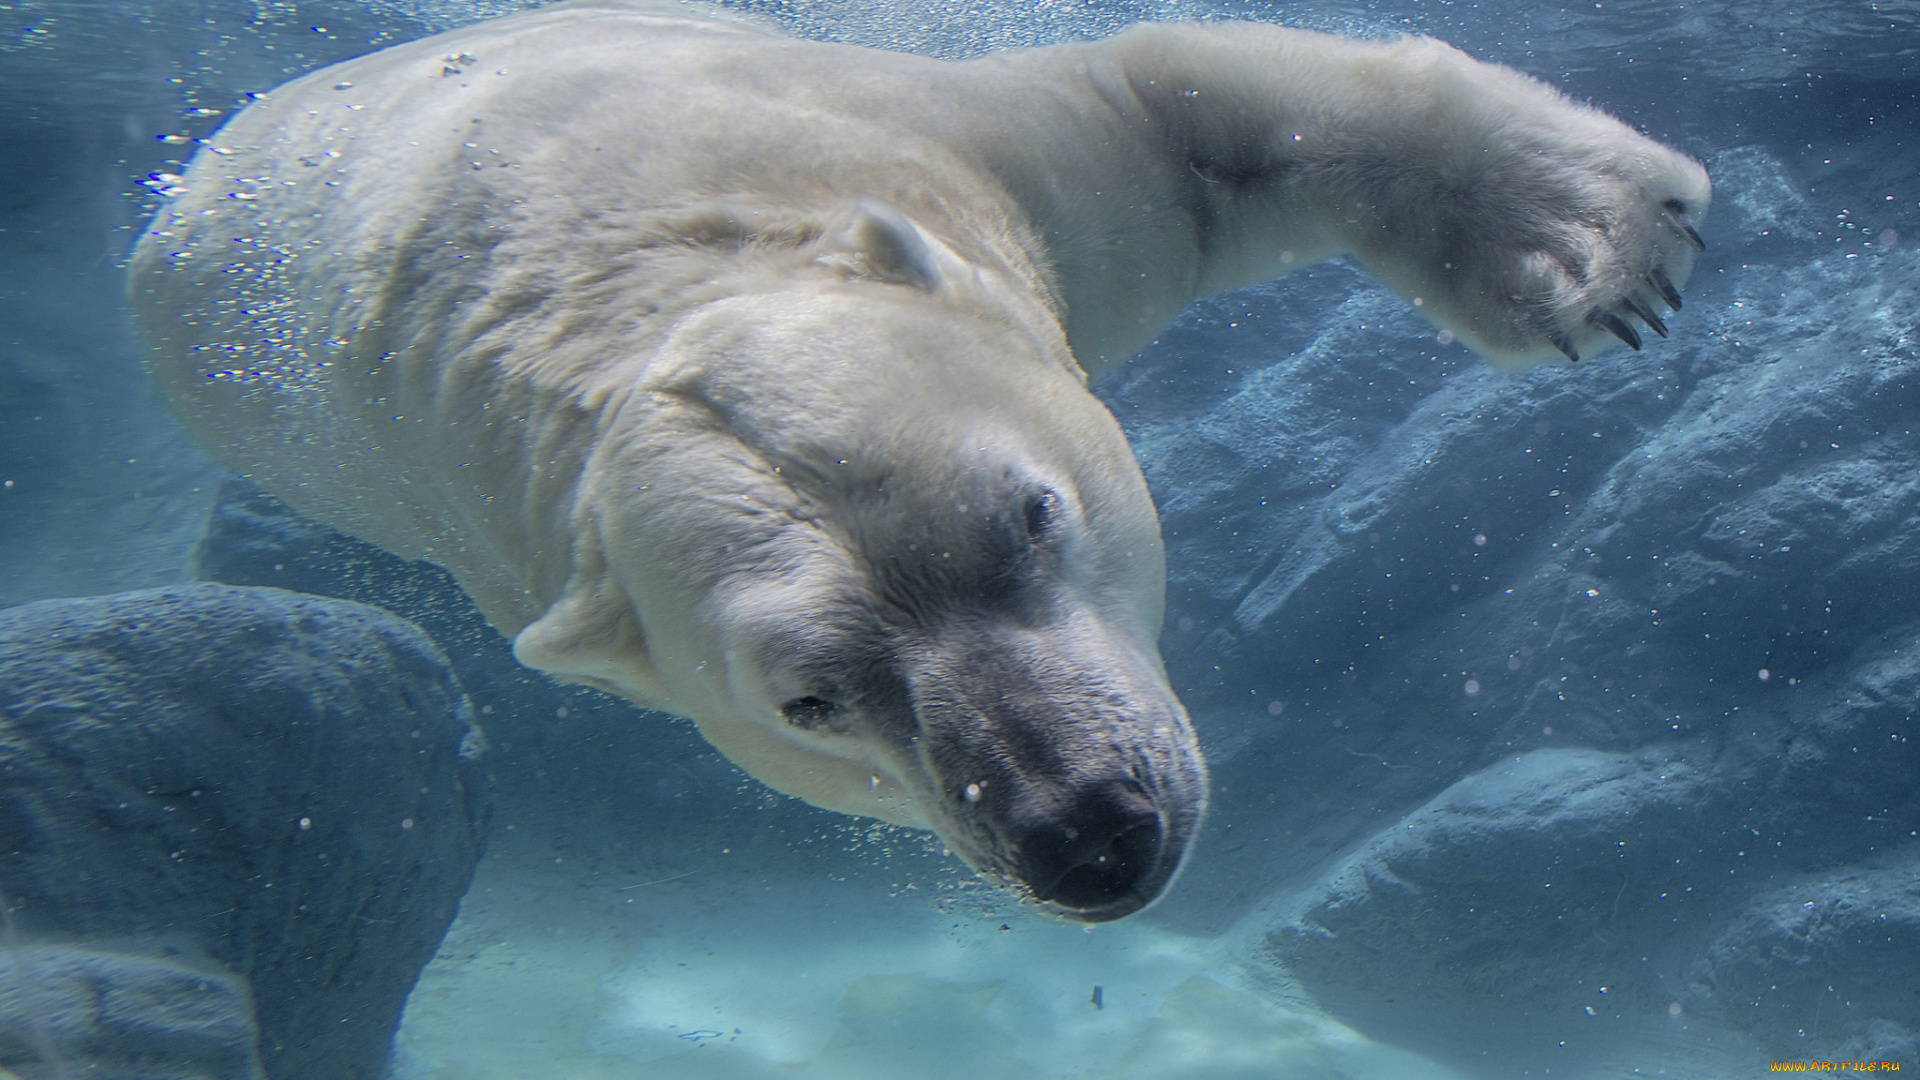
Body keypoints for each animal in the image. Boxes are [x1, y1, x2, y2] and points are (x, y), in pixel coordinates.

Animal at [127, 0, 1704, 922]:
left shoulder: (910, 148)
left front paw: (1584, 244)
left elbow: (1184, 105)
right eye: (810, 701)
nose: (1090, 832)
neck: (631, 288)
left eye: (1032, 515)